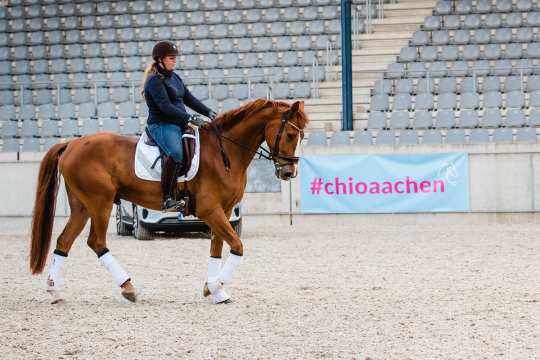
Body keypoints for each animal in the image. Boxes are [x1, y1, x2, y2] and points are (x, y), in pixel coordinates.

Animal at [29, 98, 308, 304]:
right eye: (290, 135)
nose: (288, 173)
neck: (224, 152)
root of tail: (72, 143)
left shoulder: (224, 211)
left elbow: (216, 249)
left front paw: (214, 291)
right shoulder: (211, 210)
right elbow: (237, 246)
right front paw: (214, 286)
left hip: (82, 206)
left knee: (64, 241)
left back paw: (54, 291)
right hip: (100, 203)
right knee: (96, 242)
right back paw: (129, 288)